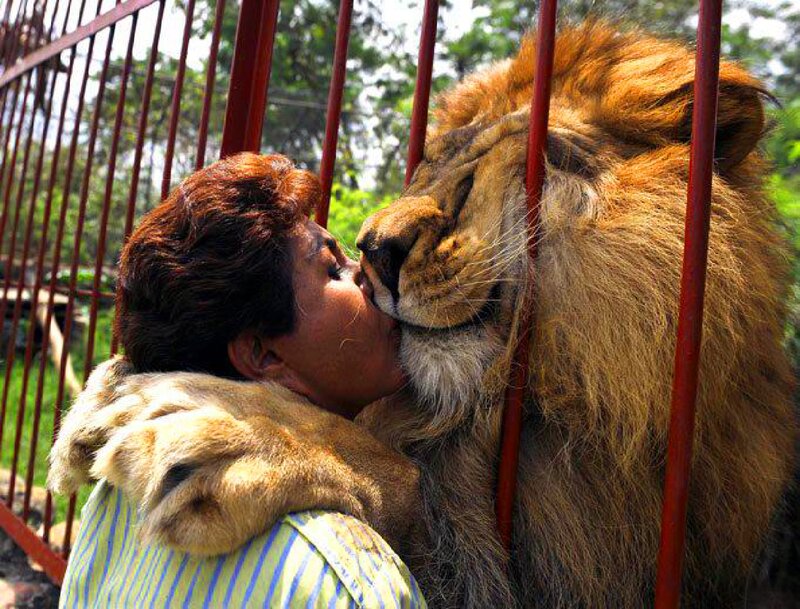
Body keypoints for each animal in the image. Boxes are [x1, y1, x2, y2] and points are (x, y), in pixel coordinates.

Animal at [49, 22, 798, 608]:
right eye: (431, 167)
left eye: (494, 169)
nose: (372, 252)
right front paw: (105, 395)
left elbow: (400, 474)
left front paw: (238, 435)